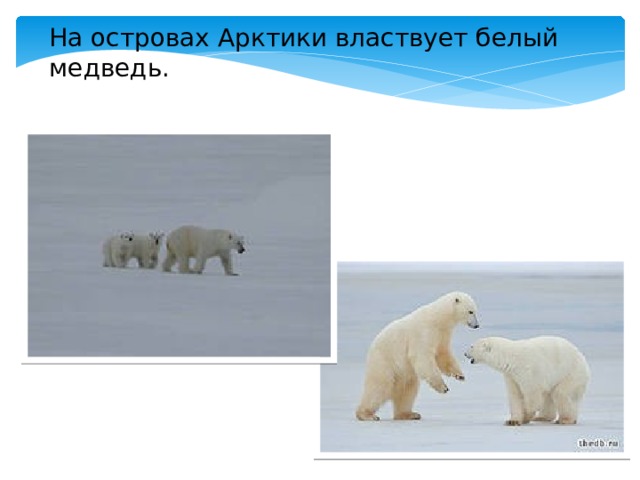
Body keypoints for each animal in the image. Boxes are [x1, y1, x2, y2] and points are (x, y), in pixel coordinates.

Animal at [355, 291, 480, 421]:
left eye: (475, 311)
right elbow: (423, 358)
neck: (438, 318)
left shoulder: (442, 335)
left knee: (408, 390)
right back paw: (366, 414)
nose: (477, 325)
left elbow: (442, 354)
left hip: (403, 374)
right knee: (379, 388)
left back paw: (408, 414)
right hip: (383, 362)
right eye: (471, 311)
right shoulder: (423, 333)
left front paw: (459, 375)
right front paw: (443, 387)